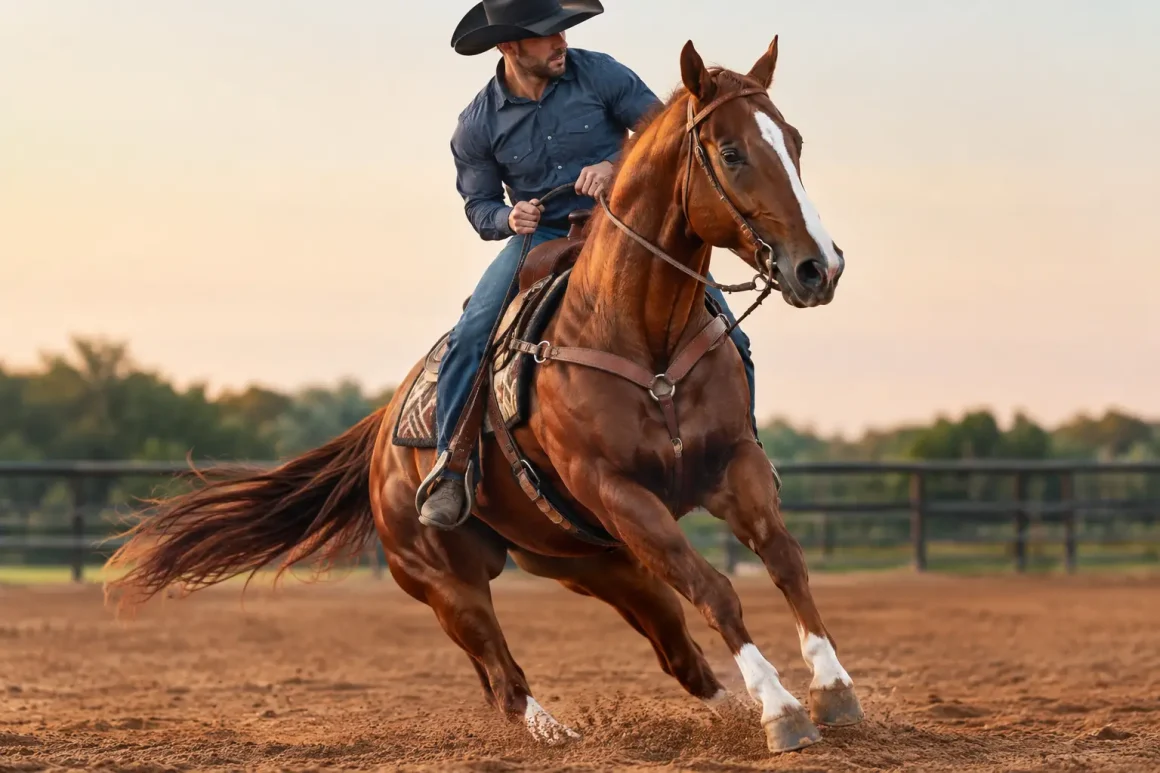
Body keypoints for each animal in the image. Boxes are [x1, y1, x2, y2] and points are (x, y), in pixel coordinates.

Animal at [105, 37, 862, 754]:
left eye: (794, 141)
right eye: (731, 152)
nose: (819, 267)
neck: (640, 336)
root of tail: (383, 435)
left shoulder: (730, 462)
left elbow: (785, 560)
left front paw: (832, 690)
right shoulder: (621, 492)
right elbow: (717, 588)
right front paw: (784, 711)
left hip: (592, 561)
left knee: (675, 650)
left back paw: (722, 711)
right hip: (446, 581)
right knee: (503, 678)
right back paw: (557, 733)